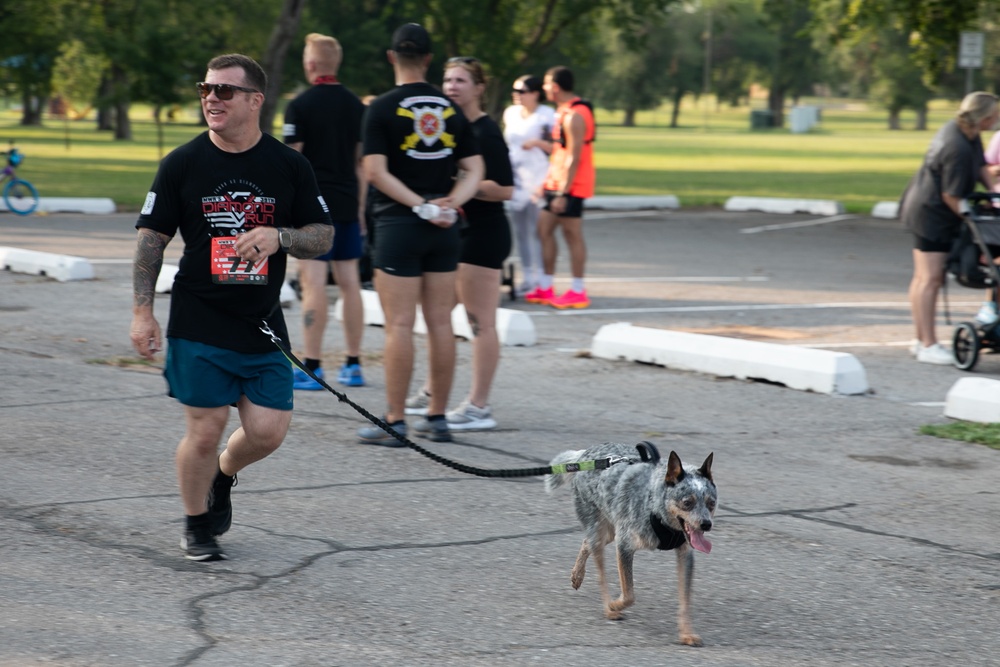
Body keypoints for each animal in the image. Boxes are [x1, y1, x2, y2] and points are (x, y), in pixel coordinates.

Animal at [548, 444, 720, 648]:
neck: (656, 509)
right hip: (600, 531)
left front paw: (686, 633)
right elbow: (629, 594)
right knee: (600, 573)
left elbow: (685, 600)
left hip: (608, 531)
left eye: (711, 503)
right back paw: (608, 608)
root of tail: (583, 455)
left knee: (585, 542)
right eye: (687, 502)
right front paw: (614, 604)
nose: (706, 524)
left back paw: (577, 575)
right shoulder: (624, 545)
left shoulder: (685, 556)